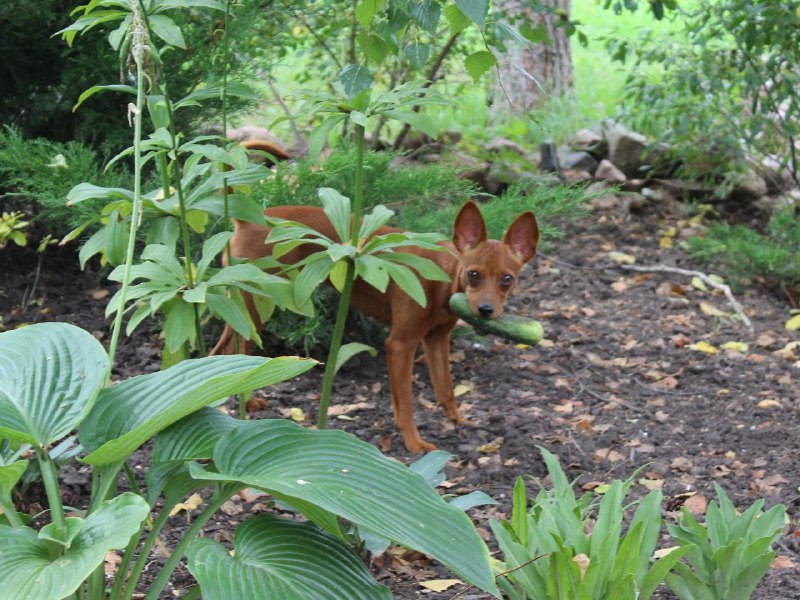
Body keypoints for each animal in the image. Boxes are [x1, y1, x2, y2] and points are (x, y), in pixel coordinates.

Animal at [209, 202, 540, 450]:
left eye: (507, 279)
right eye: (473, 274)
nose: (486, 311)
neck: (442, 275)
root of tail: (247, 220)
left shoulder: (436, 340)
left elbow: (444, 388)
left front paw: (458, 422)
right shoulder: (400, 345)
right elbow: (406, 404)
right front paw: (415, 444)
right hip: (253, 307)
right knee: (224, 351)